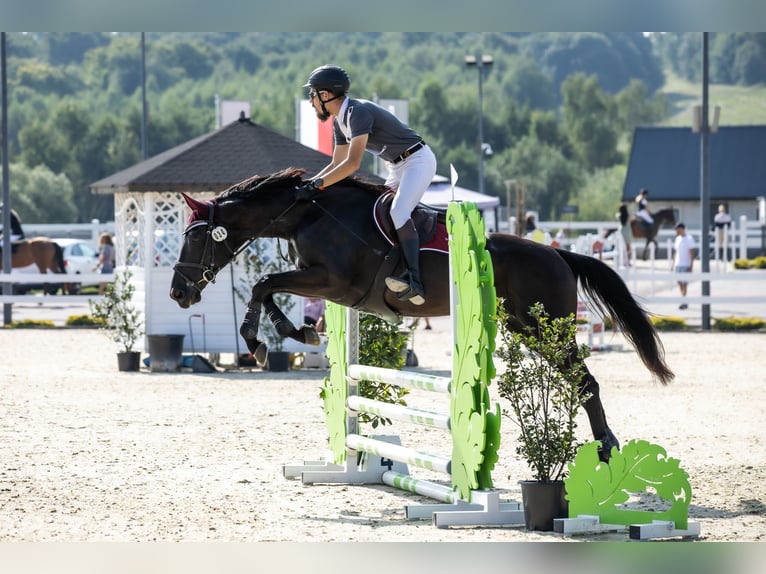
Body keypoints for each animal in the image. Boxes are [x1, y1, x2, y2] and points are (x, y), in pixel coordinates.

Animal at [171, 168, 676, 464]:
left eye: (194, 238)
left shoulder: (333, 282)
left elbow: (264, 282)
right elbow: (268, 284)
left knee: (585, 382)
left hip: (545, 328)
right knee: (580, 381)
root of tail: (559, 253)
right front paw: (293, 332)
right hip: (524, 326)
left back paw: (606, 449)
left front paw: (266, 337)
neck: (308, 215)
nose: (178, 293)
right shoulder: (326, 285)